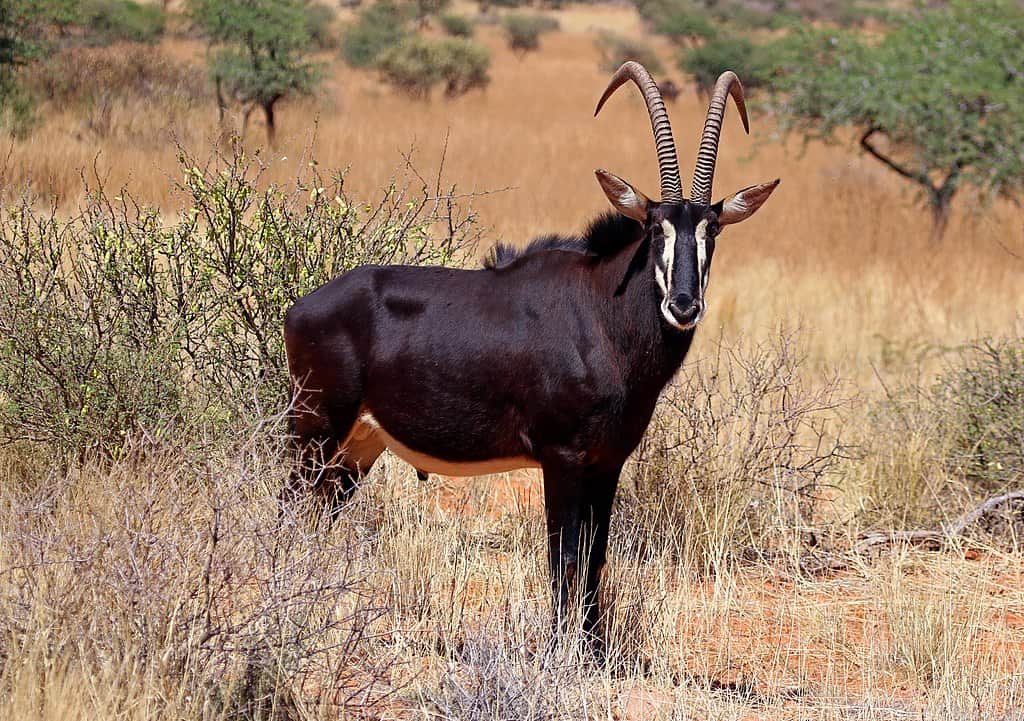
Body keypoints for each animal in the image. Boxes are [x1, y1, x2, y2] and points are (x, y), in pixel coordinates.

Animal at [280, 60, 774, 634]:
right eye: (655, 228)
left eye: (712, 230)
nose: (684, 304)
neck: (601, 314)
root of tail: (300, 307)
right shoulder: (561, 458)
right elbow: (564, 558)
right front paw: (562, 647)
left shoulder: (607, 462)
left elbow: (595, 557)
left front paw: (592, 646)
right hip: (316, 428)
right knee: (291, 507)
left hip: (357, 446)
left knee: (319, 514)